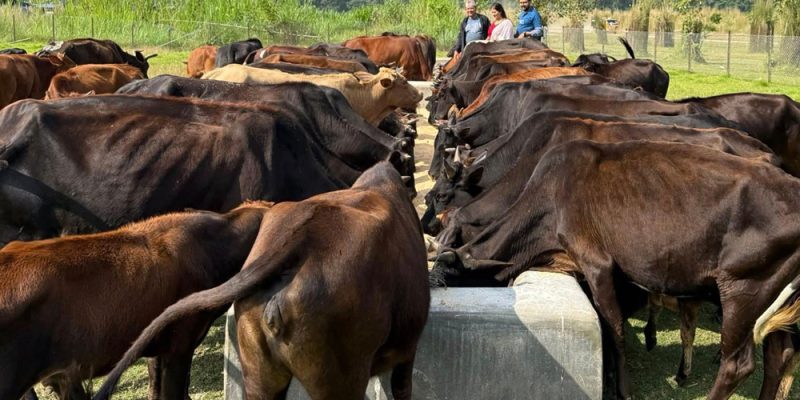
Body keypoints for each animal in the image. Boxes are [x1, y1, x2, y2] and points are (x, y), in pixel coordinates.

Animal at [430, 140, 800, 400]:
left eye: (450, 278)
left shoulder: (598, 264)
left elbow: (616, 330)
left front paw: (622, 388)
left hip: (744, 289)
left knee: (738, 364)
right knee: (778, 356)